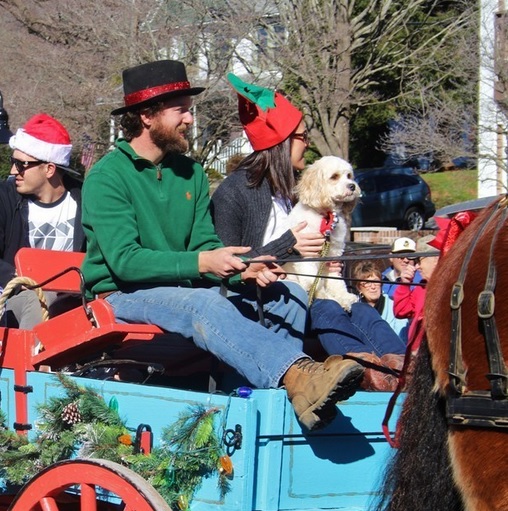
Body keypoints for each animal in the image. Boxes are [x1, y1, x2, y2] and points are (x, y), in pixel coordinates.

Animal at [286, 154, 362, 310]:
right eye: (334, 176)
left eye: (349, 175)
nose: (352, 186)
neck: (325, 217)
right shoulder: (308, 256)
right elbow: (314, 281)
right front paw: (328, 297)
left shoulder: (333, 254)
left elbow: (335, 280)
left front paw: (344, 297)